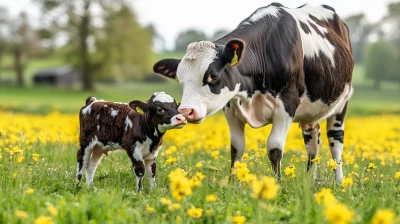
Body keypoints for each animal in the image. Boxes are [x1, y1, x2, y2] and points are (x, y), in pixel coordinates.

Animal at [153, 3, 354, 182]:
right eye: (180, 79)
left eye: (213, 75)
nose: (186, 111)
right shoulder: (230, 106)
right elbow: (236, 148)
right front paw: (233, 183)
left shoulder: (287, 104)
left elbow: (274, 148)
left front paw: (277, 184)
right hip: (311, 113)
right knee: (312, 141)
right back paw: (309, 181)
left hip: (342, 103)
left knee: (336, 140)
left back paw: (338, 181)